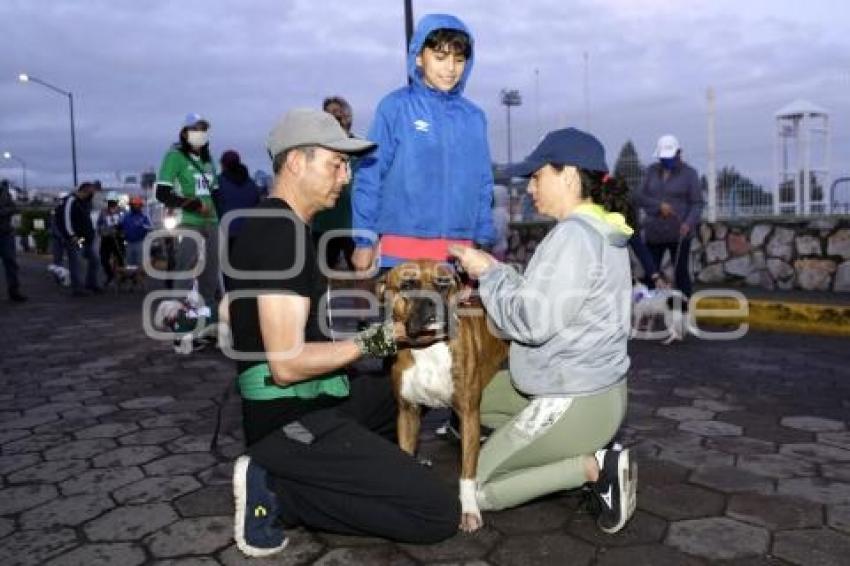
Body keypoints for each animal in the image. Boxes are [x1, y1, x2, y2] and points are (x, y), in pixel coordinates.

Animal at [380, 260, 506, 536]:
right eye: (407, 284)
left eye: (444, 283)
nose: (432, 300)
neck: (428, 348)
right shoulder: (408, 412)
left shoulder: (469, 414)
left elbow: (467, 473)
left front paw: (469, 511)